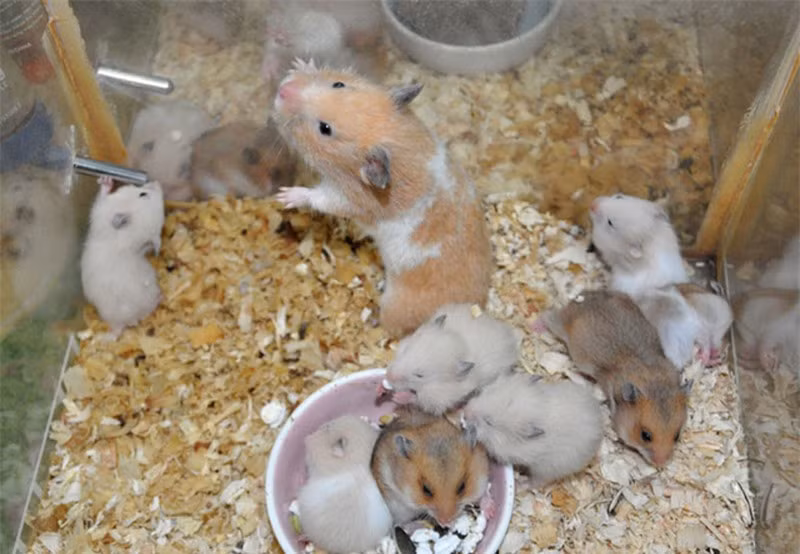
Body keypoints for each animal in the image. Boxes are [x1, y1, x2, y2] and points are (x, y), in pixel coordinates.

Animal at [272, 63, 493, 337]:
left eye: (325, 129)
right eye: (339, 84)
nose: (283, 90)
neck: (395, 140)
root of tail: (474, 308)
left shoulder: (348, 198)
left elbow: (319, 198)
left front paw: (285, 195)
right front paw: (300, 65)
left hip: (396, 306)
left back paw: (372, 320)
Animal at [384, 304, 519, 414]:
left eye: (420, 375)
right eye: (406, 349)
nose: (388, 376)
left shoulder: (438, 398)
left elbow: (418, 399)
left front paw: (397, 397)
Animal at [462, 372, 603, 488]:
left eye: (489, 422)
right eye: (485, 391)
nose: (466, 410)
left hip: (547, 470)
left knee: (536, 483)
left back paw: (521, 484)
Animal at [533, 290, 691, 467]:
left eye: (677, 436)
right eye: (645, 435)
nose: (661, 464)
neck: (651, 382)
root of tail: (583, 297)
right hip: (563, 327)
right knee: (549, 315)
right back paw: (536, 326)